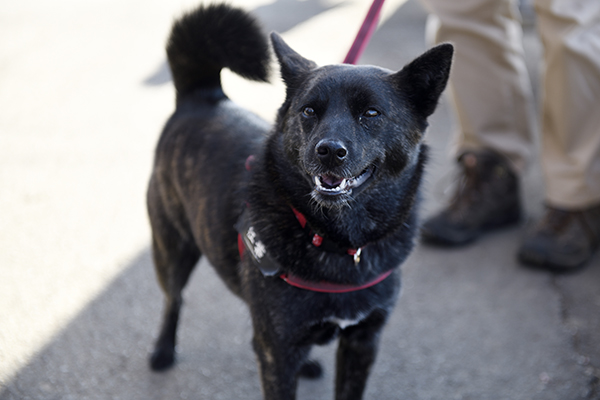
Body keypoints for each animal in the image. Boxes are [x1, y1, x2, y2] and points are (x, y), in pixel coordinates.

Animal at [148, 3, 452, 400]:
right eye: (309, 111)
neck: (337, 239)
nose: (329, 151)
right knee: (173, 299)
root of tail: (202, 97)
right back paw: (162, 350)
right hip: (172, 248)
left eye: (371, 113)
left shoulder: (363, 341)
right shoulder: (276, 352)